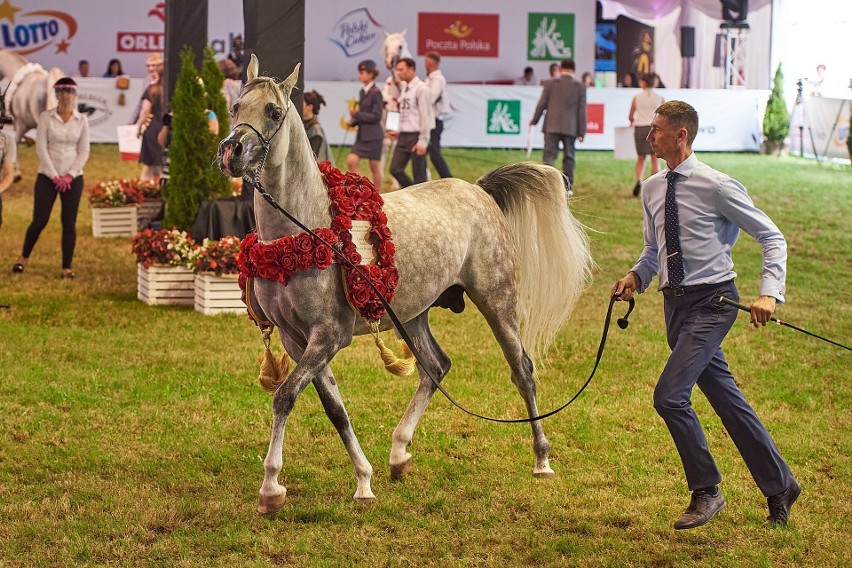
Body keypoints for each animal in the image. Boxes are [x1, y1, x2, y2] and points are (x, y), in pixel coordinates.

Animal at [220, 54, 592, 516]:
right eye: (235, 107)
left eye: (273, 111)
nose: (231, 152)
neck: (305, 229)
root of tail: (479, 191)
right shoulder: (296, 339)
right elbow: (334, 408)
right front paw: (364, 480)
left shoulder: (328, 336)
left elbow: (285, 396)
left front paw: (271, 487)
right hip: (413, 314)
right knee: (436, 367)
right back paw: (399, 454)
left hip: (497, 300)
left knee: (521, 369)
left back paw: (541, 458)